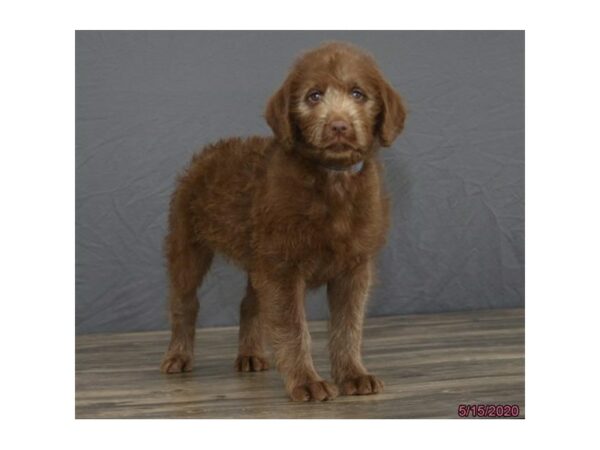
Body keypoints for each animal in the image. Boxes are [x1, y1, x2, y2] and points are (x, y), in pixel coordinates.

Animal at [159, 42, 406, 400]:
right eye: (314, 96)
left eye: (358, 94)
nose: (339, 126)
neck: (331, 180)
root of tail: (206, 154)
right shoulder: (282, 266)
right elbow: (292, 327)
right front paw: (306, 381)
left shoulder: (353, 267)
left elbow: (348, 326)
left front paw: (353, 374)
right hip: (187, 242)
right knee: (184, 302)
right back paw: (178, 355)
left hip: (255, 255)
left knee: (249, 303)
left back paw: (250, 354)